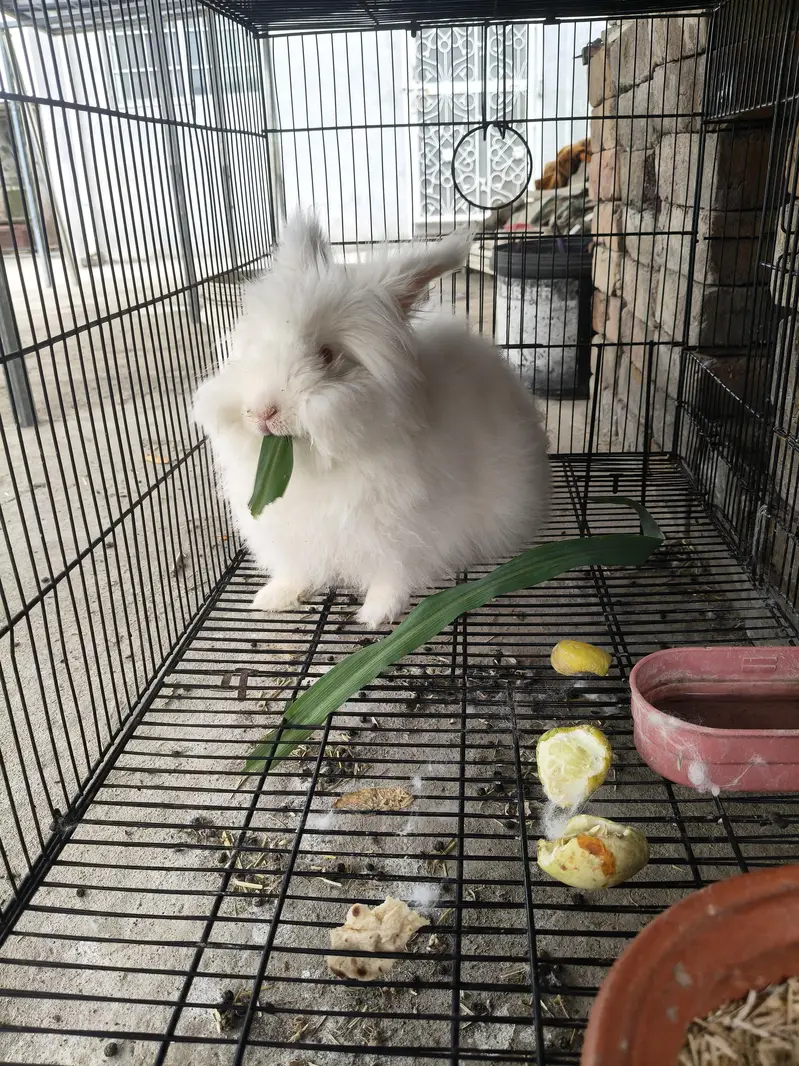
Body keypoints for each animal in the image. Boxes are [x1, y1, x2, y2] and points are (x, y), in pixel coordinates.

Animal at [192, 212, 551, 630]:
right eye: (257, 347)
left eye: (327, 355)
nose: (262, 412)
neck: (318, 463)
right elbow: (298, 569)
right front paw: (273, 598)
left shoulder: (402, 533)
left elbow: (391, 573)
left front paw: (376, 615)